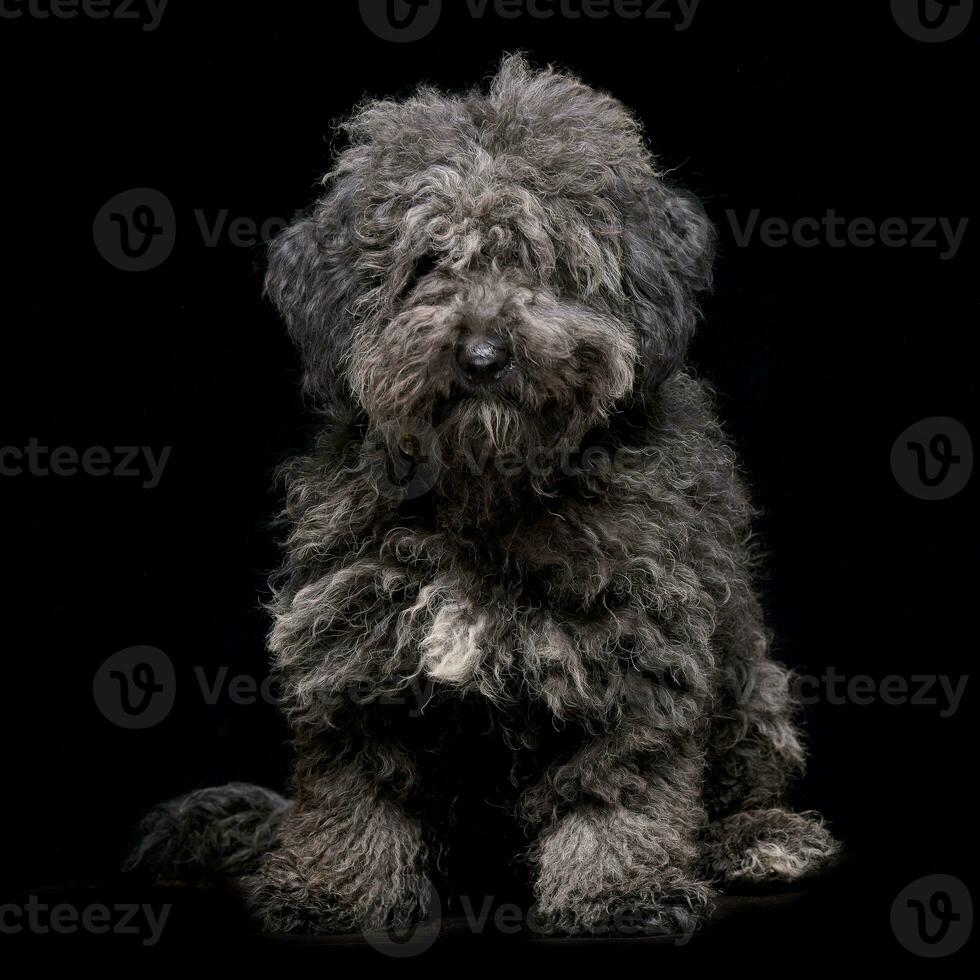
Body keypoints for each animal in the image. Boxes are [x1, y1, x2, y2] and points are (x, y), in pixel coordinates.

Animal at [126, 55, 840, 940]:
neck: (486, 486)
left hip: (751, 680)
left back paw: (758, 836)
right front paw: (340, 889)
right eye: (426, 263)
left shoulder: (636, 645)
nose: (483, 355)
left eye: (544, 259)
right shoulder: (351, 646)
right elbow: (354, 788)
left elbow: (617, 780)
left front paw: (617, 889)